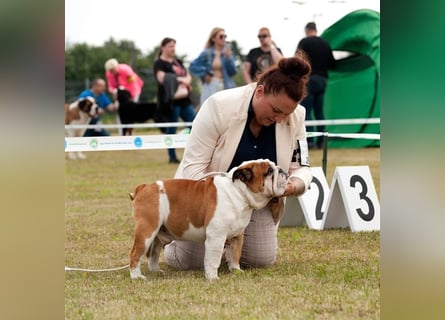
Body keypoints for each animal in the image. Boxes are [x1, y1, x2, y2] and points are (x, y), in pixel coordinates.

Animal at [128, 159, 288, 280]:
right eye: (269, 171)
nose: (282, 170)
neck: (238, 192)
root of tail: (144, 187)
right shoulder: (216, 237)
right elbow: (213, 259)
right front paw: (212, 277)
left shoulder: (237, 236)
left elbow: (235, 255)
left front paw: (236, 270)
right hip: (147, 231)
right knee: (135, 253)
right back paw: (137, 277)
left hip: (157, 235)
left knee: (153, 254)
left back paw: (156, 271)